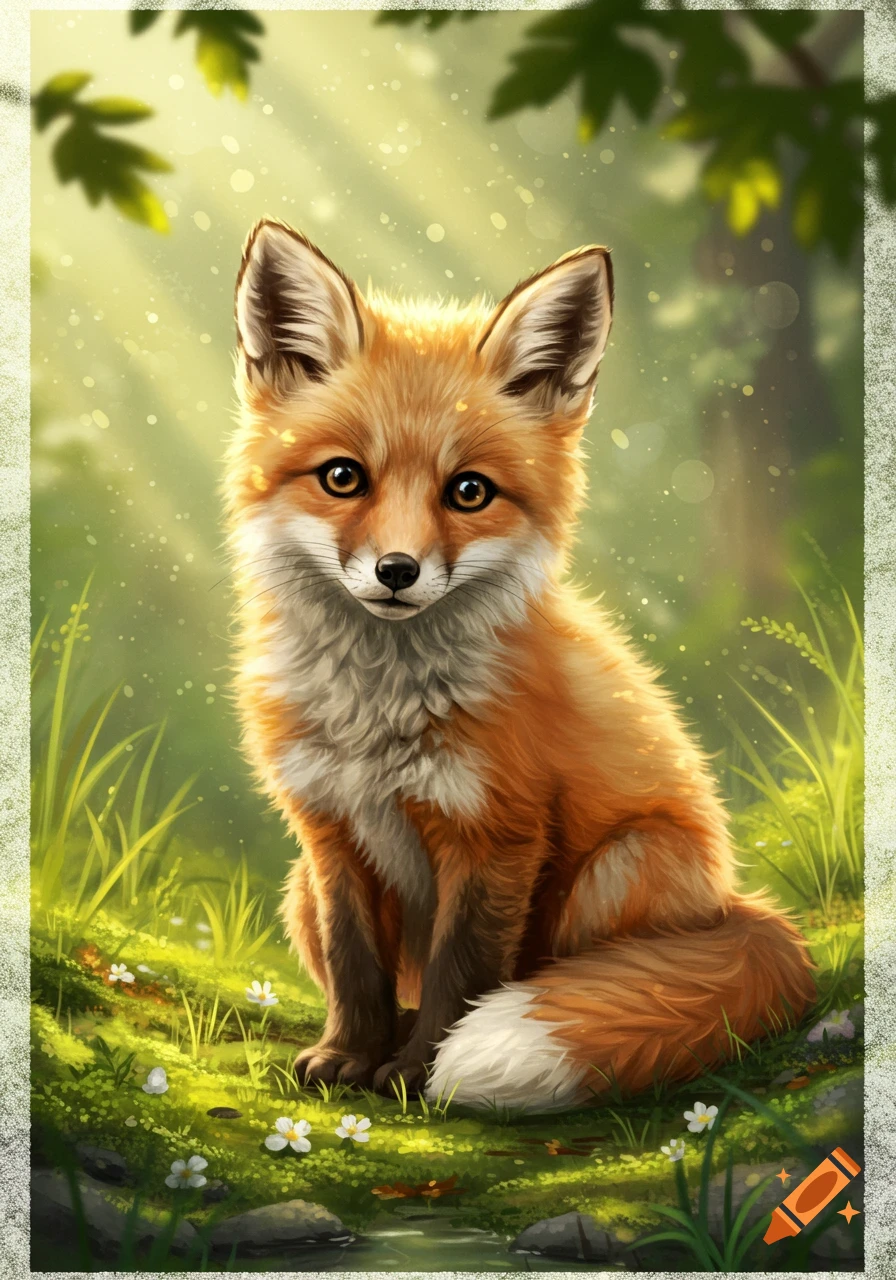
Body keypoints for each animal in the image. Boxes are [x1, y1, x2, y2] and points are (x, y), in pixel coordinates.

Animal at [224, 217, 815, 1113]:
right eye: (342, 477)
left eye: (469, 491)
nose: (396, 571)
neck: (378, 718)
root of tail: (738, 905)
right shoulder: (328, 832)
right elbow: (356, 969)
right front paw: (350, 1057)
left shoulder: (498, 832)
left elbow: (463, 977)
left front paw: (418, 1076)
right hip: (295, 887)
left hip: (621, 865)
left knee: (561, 972)